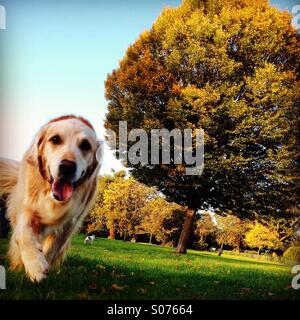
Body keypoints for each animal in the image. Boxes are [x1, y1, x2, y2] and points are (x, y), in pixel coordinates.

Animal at [0, 115, 102, 282]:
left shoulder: (69, 223)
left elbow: (53, 249)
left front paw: (44, 265)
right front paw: (35, 265)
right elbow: (24, 234)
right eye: (55, 139)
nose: (67, 167)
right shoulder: (29, 208)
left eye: (85, 145)